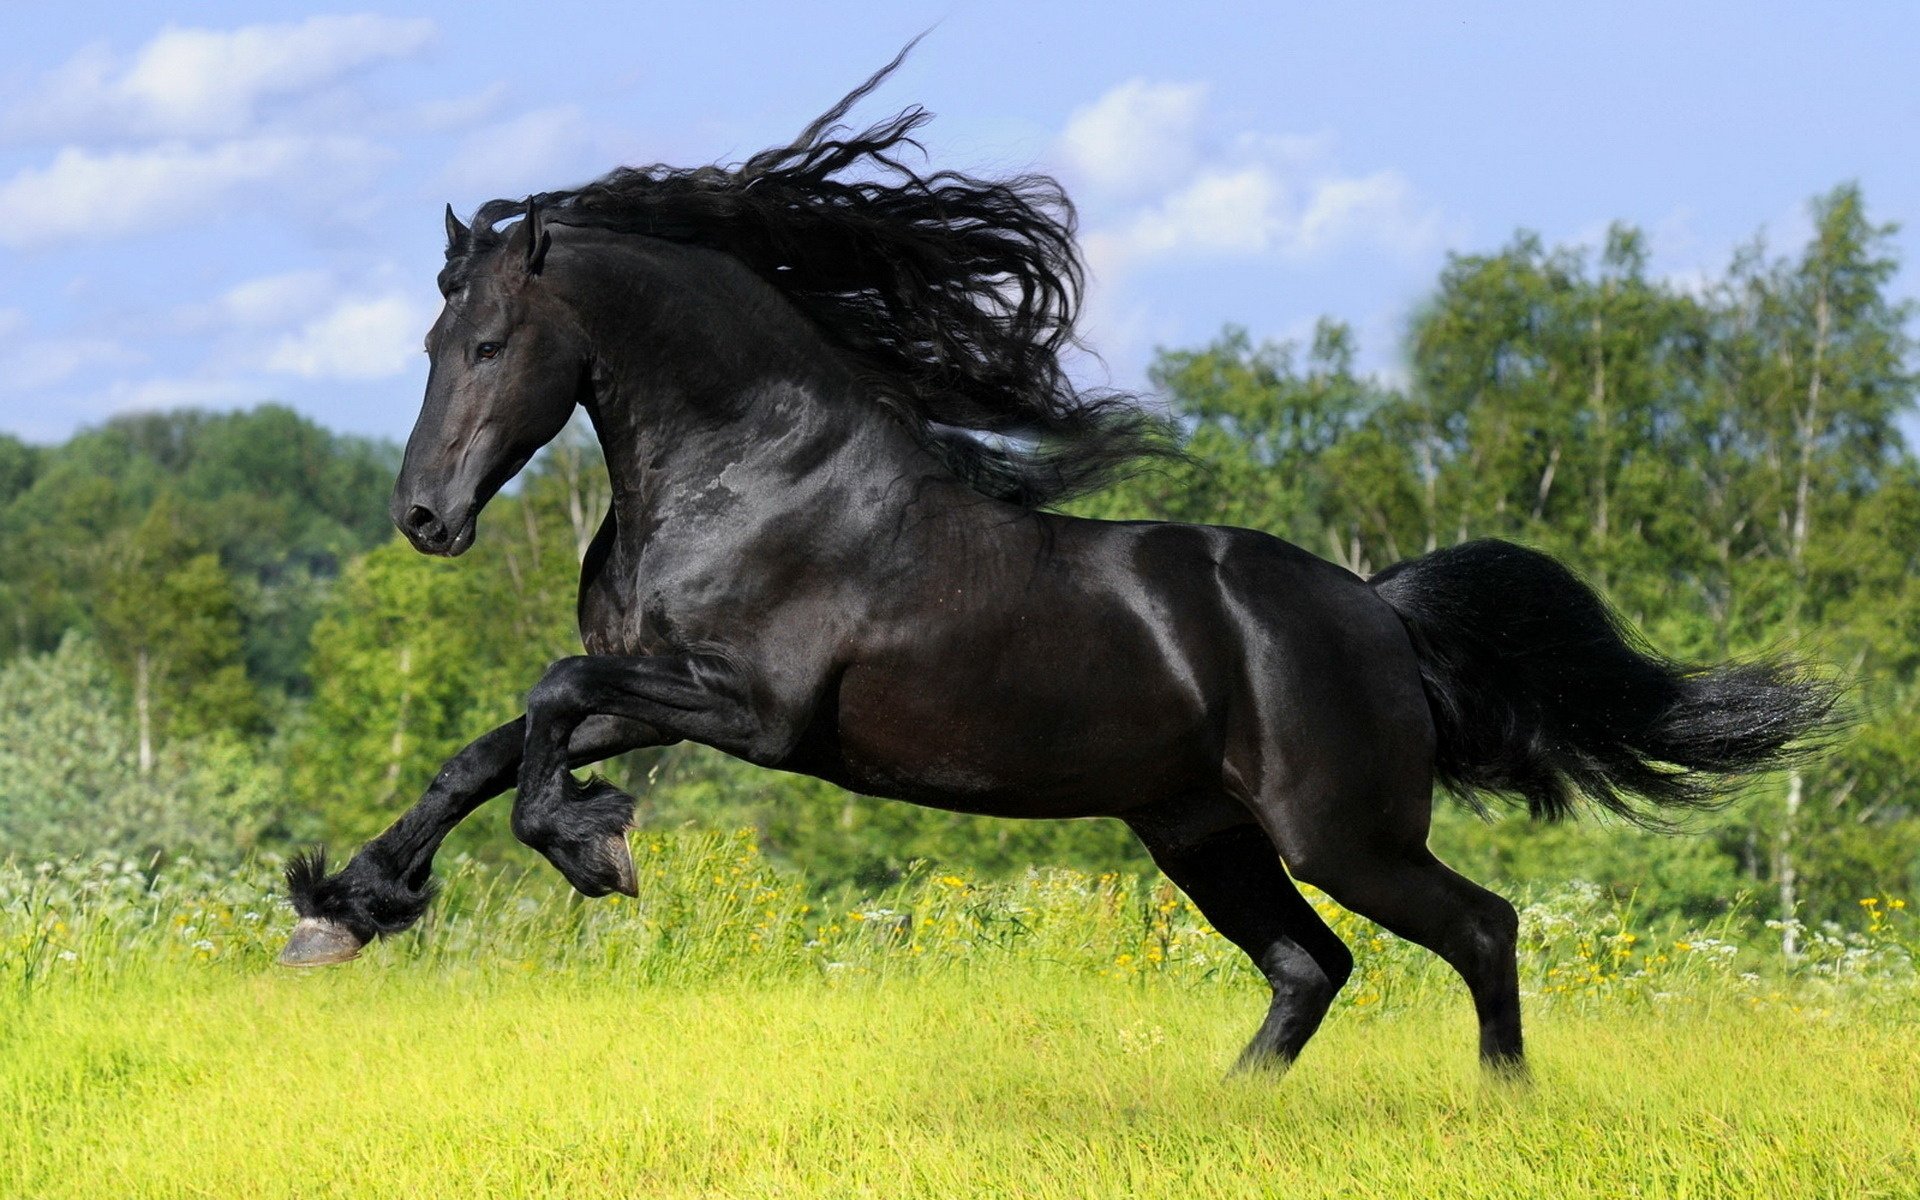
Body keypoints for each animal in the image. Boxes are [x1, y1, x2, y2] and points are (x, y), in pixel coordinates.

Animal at [280, 53, 1827, 1075]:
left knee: (1481, 930)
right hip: (1202, 833)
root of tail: (1379, 614)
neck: (754, 473)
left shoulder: (751, 712)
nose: (425, 519)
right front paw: (346, 910)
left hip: (1343, 833)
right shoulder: (660, 687)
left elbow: (543, 700)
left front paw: (591, 849)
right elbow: (484, 750)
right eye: (430, 340)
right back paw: (1229, 1113)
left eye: (490, 343)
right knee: (1309, 965)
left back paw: (1501, 1107)